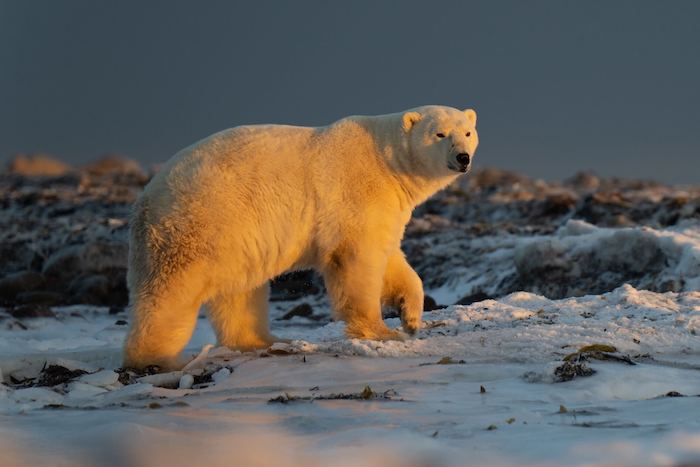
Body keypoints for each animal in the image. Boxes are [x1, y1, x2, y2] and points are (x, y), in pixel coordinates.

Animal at [123, 105, 478, 370]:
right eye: (440, 133)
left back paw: (266, 341)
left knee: (240, 291)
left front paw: (411, 317)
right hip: (198, 222)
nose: (463, 157)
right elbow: (356, 259)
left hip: (235, 235)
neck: (386, 160)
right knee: (172, 291)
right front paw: (381, 332)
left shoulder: (387, 208)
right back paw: (156, 358)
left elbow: (391, 259)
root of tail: (146, 198)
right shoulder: (356, 194)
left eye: (467, 132)